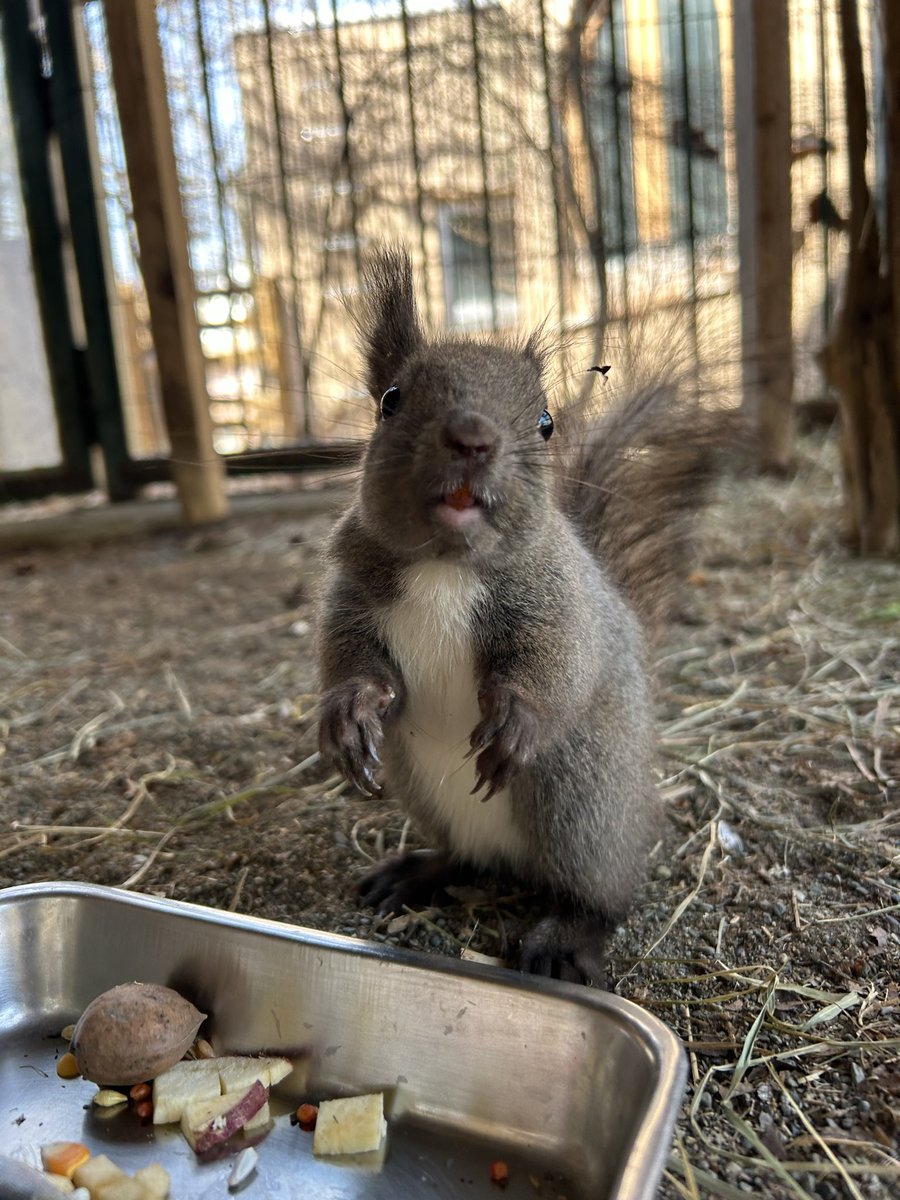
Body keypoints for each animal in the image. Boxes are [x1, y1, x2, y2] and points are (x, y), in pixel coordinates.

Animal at [316, 246, 724, 984]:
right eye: (391, 401)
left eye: (545, 423)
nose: (472, 438)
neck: (446, 567)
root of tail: (515, 862)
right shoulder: (352, 590)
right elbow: (349, 660)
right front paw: (348, 715)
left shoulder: (561, 601)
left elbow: (557, 662)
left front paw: (518, 718)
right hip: (424, 790)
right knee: (465, 859)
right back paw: (419, 872)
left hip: (578, 802)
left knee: (600, 897)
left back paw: (566, 935)